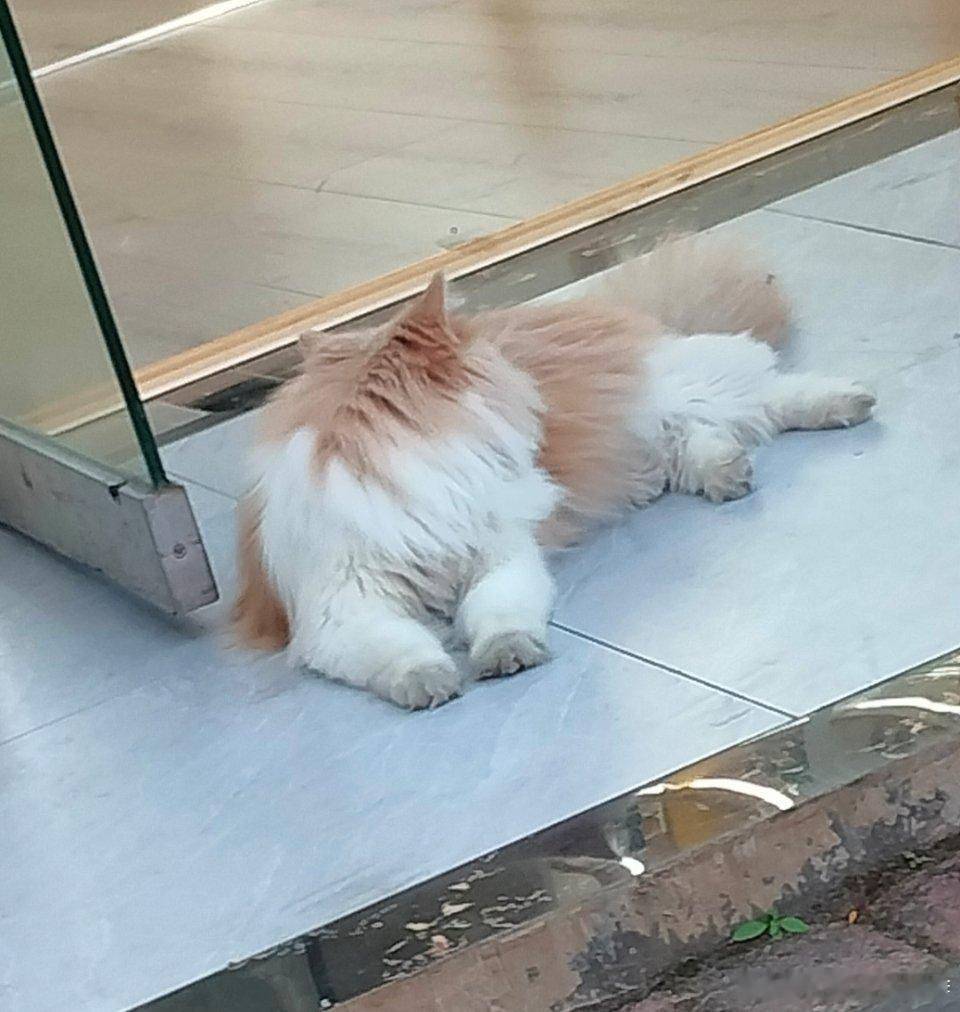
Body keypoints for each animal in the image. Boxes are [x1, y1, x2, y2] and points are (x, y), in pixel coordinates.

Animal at [234, 236, 875, 709]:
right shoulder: (346, 606)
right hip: (646, 436)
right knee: (692, 445)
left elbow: (496, 612)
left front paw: (506, 656)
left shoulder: (502, 555)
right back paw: (726, 472)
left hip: (674, 389)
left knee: (767, 390)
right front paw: (431, 683)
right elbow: (399, 648)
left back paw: (845, 401)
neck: (402, 464)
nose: (511, 374)